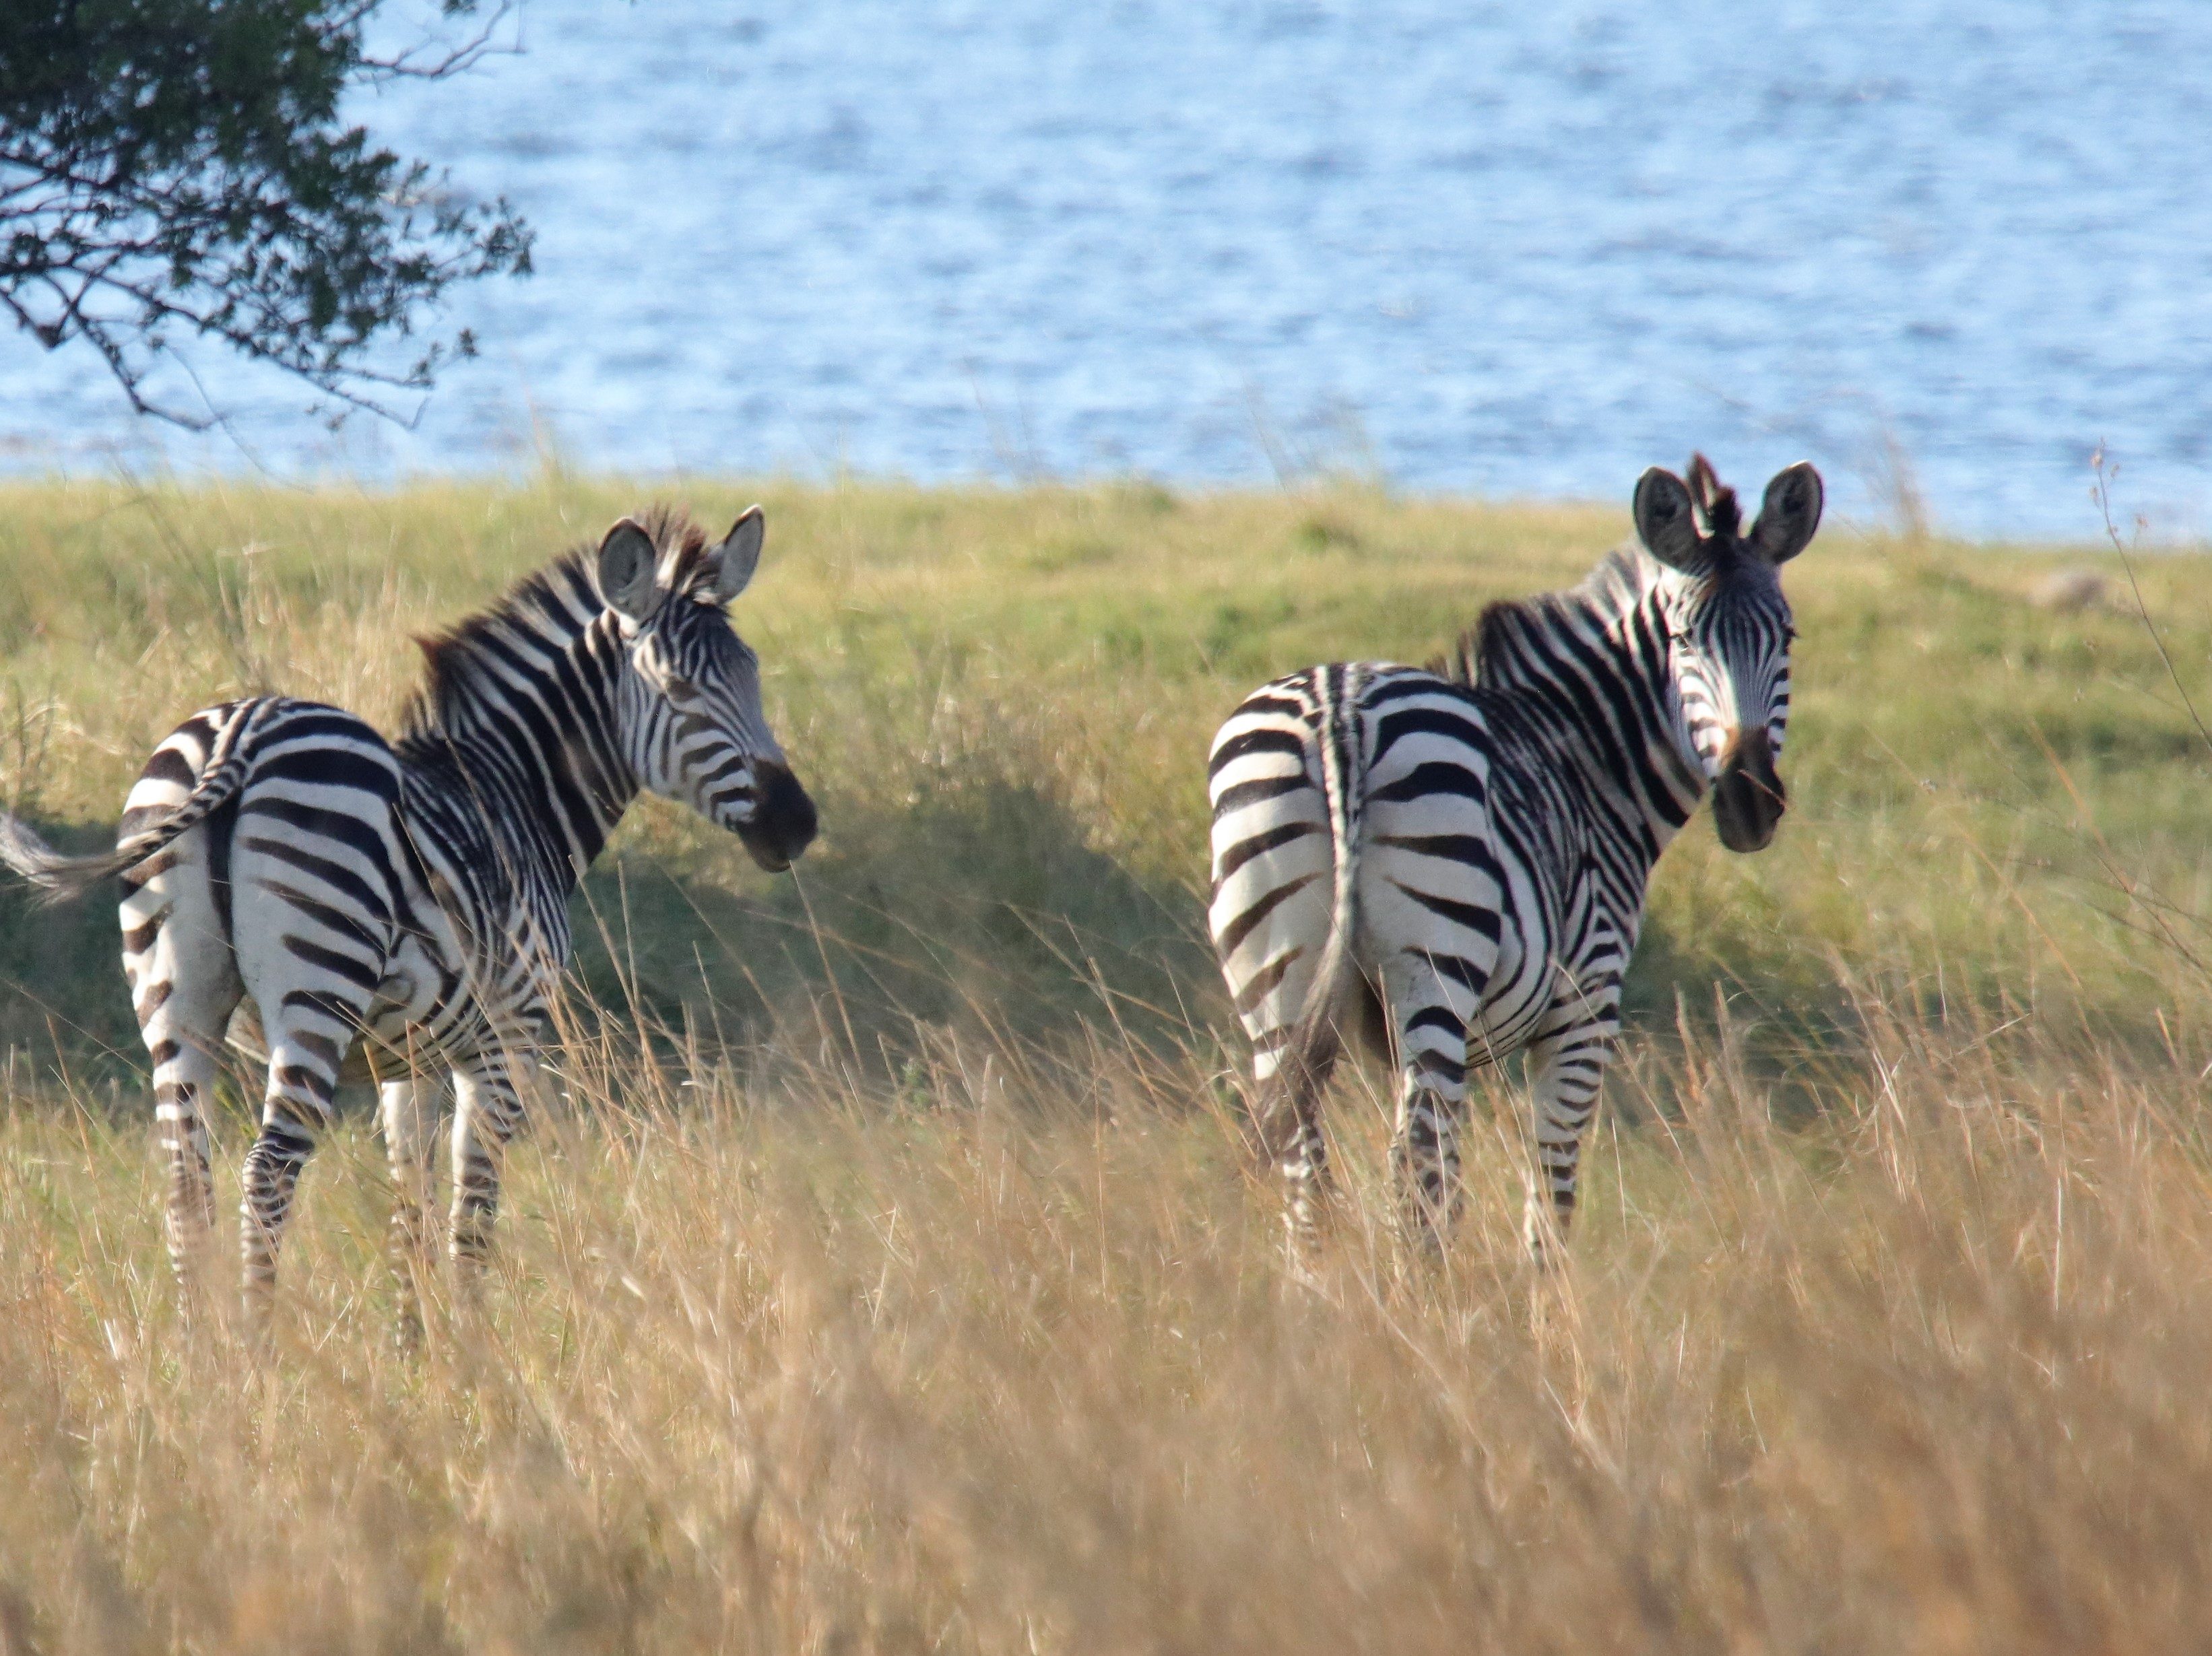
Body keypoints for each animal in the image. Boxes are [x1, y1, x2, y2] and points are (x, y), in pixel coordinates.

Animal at [0, 507, 817, 1327]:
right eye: (679, 687)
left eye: (753, 674)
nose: (798, 823)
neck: (510, 791)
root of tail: (242, 732)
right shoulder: (506, 1036)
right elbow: (473, 1212)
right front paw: (473, 1348)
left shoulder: (412, 1059)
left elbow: (411, 1208)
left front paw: (414, 1343)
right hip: (318, 991)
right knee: (267, 1170)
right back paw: (258, 1348)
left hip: (175, 997)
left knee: (184, 1178)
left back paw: (201, 1347)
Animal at [1206, 457, 1822, 1258]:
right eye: (1684, 640)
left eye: (1785, 637)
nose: (1748, 800)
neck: (1586, 759)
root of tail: (1339, 708)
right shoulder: (1583, 1010)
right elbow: (1550, 1194)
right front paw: (1544, 1295)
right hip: (1437, 964)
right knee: (1415, 1161)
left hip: (1274, 970)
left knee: (1309, 1162)